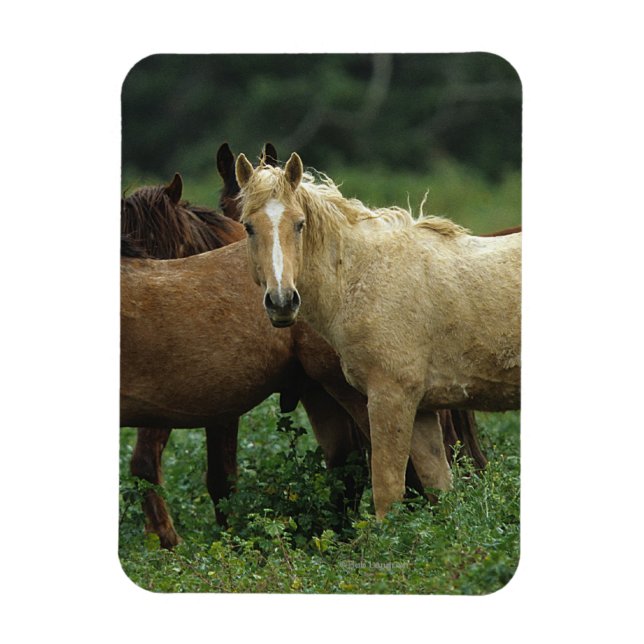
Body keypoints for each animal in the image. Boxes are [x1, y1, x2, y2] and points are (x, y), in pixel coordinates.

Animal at [234, 151, 521, 519]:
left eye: (299, 224)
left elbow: (387, 492)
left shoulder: (390, 398)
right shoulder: (422, 410)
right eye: (248, 226)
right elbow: (439, 490)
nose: (282, 301)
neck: (362, 276)